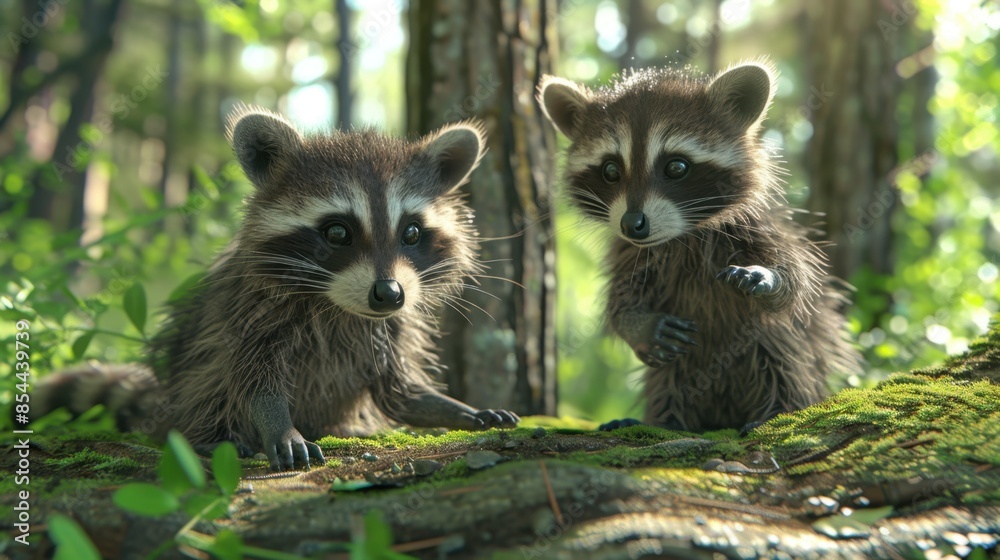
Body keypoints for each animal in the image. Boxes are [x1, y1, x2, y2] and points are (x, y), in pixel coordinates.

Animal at [33, 107, 519, 470]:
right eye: (338, 232)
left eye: (412, 233)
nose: (389, 294)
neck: (338, 305)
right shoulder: (251, 310)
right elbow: (252, 378)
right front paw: (278, 425)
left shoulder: (392, 327)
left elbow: (398, 389)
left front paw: (453, 407)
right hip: (187, 379)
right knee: (207, 380)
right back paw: (208, 435)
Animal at [538, 59, 861, 432]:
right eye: (610, 170)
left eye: (676, 166)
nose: (632, 224)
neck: (682, 235)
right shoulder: (631, 253)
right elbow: (620, 302)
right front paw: (637, 325)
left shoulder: (758, 229)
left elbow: (795, 281)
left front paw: (768, 277)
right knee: (669, 381)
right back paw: (663, 422)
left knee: (784, 356)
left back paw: (778, 409)